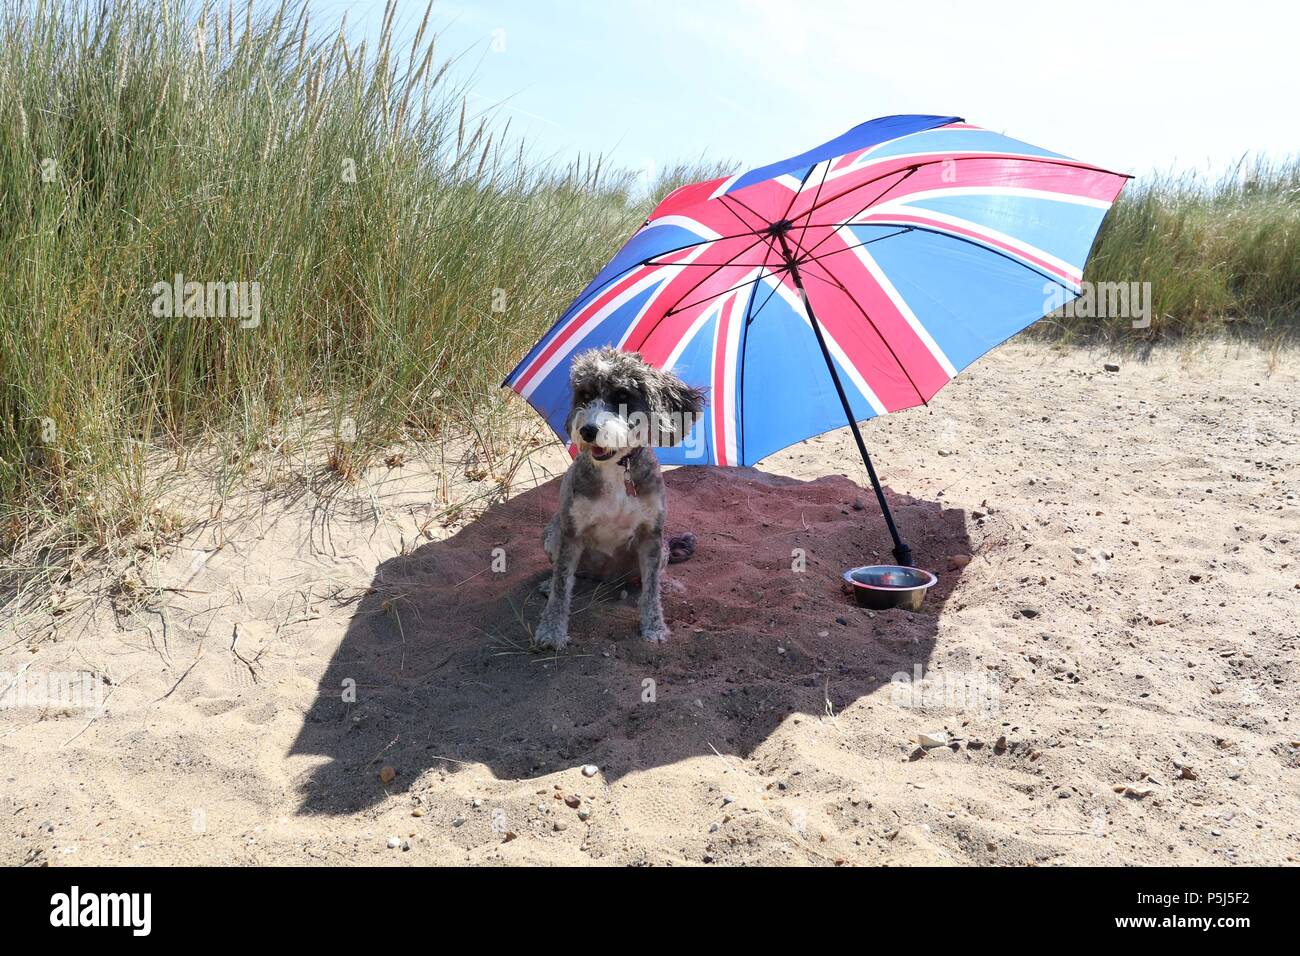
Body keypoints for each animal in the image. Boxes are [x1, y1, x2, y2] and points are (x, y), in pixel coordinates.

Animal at [533, 348, 707, 655]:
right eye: (586, 396)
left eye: (623, 396)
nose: (588, 430)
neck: (616, 469)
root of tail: (607, 578)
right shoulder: (571, 533)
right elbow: (561, 588)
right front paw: (552, 631)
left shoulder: (651, 535)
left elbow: (650, 591)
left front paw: (654, 627)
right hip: (552, 533)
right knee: (568, 577)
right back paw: (549, 583)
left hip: (661, 548)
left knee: (651, 578)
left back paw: (666, 584)